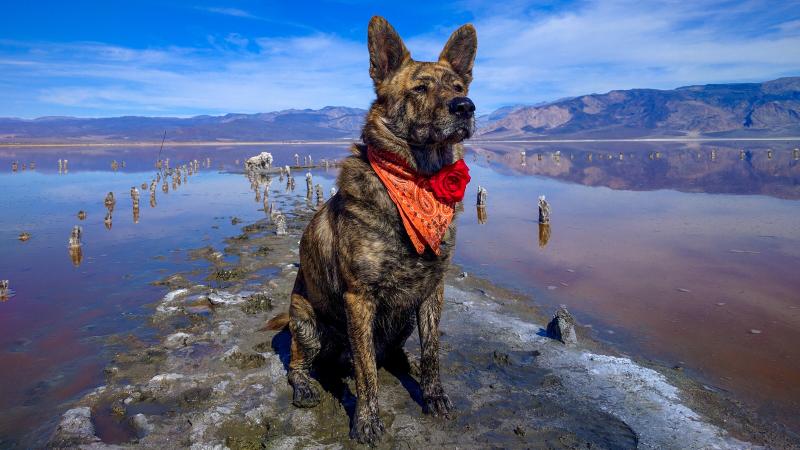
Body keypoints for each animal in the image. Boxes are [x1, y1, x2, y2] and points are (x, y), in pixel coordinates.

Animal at [268, 15, 476, 444]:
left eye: (459, 88)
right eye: (419, 89)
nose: (465, 107)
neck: (418, 182)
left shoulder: (433, 289)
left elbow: (432, 351)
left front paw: (434, 396)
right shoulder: (359, 299)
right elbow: (366, 373)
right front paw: (366, 420)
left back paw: (402, 360)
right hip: (306, 320)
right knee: (299, 365)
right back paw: (306, 387)